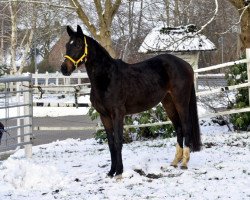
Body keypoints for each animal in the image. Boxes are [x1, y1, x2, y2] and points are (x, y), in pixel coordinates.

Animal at [60, 25, 201, 177]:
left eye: (78, 45)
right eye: (67, 45)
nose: (64, 69)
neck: (106, 78)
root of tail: (186, 65)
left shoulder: (118, 114)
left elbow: (118, 142)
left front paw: (119, 172)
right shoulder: (104, 116)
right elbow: (110, 143)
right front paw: (111, 171)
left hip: (181, 101)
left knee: (186, 127)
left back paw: (185, 163)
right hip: (168, 102)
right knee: (179, 128)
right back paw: (175, 161)